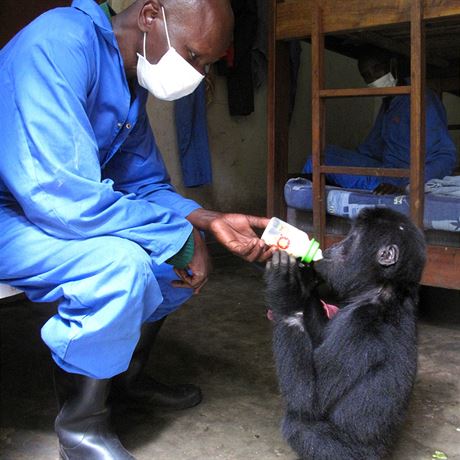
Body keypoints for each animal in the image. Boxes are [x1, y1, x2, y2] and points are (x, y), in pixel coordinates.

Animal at [266, 209, 428, 460]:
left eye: (352, 238)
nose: (332, 246)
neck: (380, 287)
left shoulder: (359, 325)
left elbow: (311, 399)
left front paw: (286, 287)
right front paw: (303, 278)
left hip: (350, 454)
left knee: (298, 425)